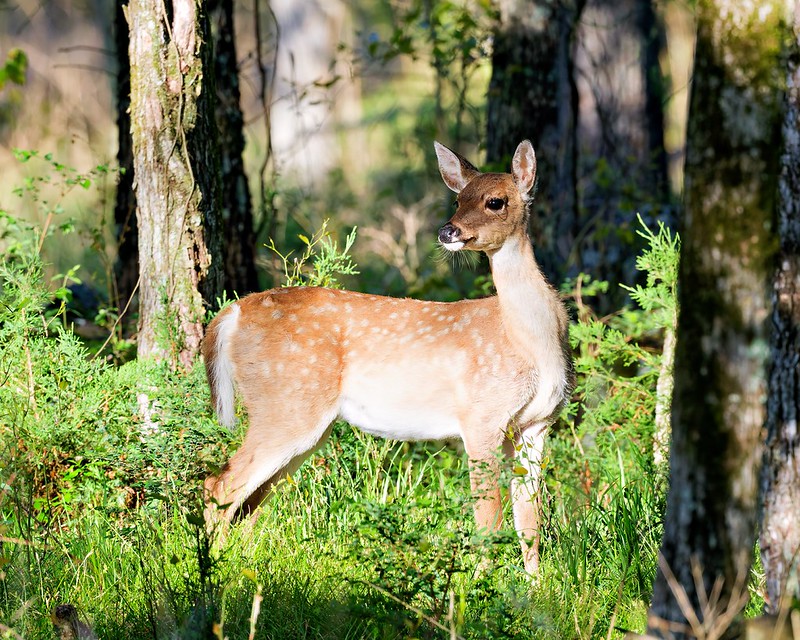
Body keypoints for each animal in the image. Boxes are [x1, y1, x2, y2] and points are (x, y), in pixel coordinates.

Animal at [202, 140, 574, 574]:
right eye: (458, 199)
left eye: (495, 201)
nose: (448, 231)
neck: (527, 340)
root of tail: (232, 313)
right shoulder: (481, 416)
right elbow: (489, 519)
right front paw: (484, 584)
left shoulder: (536, 424)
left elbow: (529, 520)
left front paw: (536, 583)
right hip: (286, 404)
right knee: (220, 486)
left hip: (304, 424)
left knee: (249, 503)